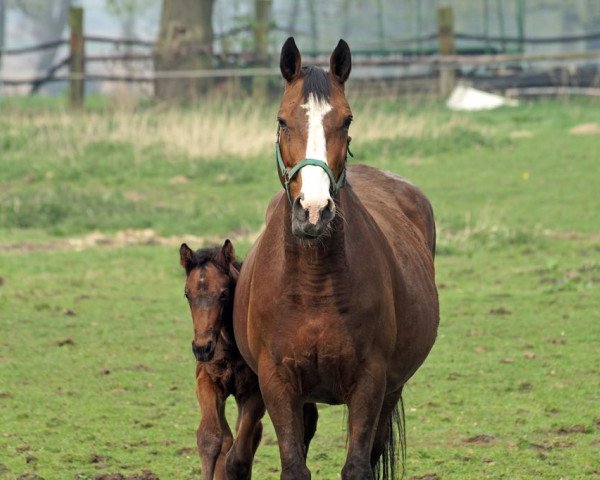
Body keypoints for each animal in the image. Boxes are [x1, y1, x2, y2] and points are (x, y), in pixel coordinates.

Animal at [180, 242, 264, 480]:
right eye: (187, 294)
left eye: (224, 293)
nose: (202, 348)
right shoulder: (207, 380)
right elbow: (211, 438)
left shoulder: (255, 391)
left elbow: (238, 456)